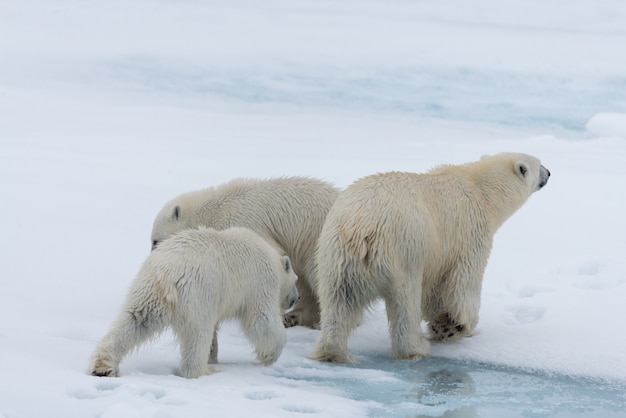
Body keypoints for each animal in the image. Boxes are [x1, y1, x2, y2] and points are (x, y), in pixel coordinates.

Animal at [88, 227, 300, 380]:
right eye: (297, 280)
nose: (296, 298)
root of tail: (167, 274)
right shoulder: (260, 284)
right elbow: (261, 322)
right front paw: (271, 355)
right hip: (197, 295)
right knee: (198, 335)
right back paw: (203, 371)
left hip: (147, 291)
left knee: (134, 321)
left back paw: (103, 367)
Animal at [151, 175, 338, 328]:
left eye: (155, 241)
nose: (154, 257)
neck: (214, 209)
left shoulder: (245, 222)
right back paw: (293, 317)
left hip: (317, 239)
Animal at [310, 153, 548, 362]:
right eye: (539, 163)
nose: (549, 173)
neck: (480, 189)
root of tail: (360, 227)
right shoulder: (470, 236)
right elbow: (462, 288)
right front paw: (455, 328)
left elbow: (435, 293)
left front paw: (442, 326)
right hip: (403, 252)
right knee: (405, 302)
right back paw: (415, 348)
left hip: (334, 256)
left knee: (338, 302)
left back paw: (332, 352)